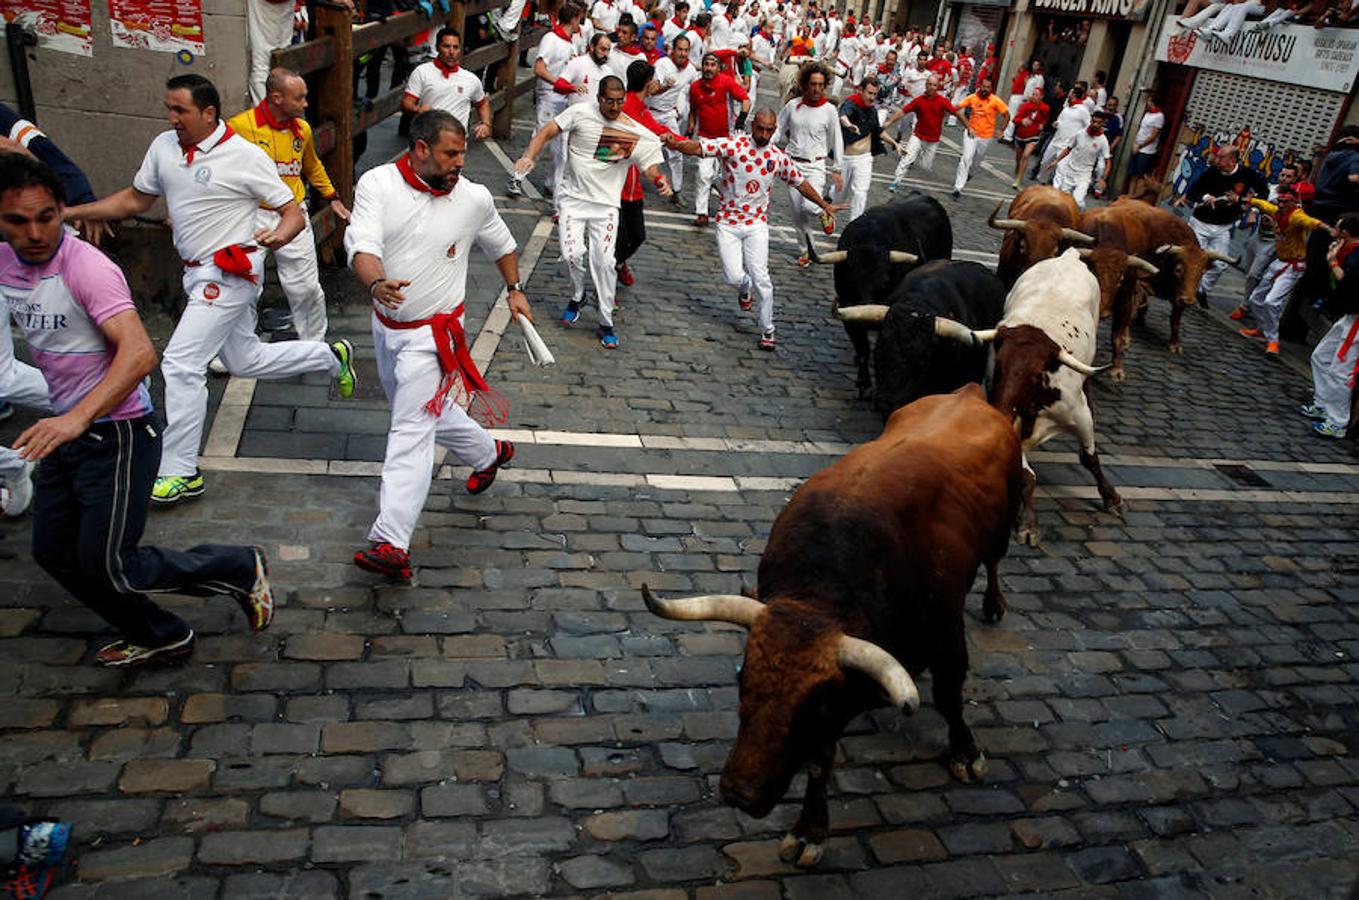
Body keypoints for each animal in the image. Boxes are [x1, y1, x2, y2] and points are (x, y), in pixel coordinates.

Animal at [641, 383, 1016, 870]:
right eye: (742, 680)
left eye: (813, 703)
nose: (740, 793)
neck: (824, 590)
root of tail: (968, 391)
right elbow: (820, 759)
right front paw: (809, 829)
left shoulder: (946, 636)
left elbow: (950, 698)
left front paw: (966, 752)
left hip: (1003, 530)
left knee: (994, 563)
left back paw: (994, 602)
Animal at [809, 195, 951, 396]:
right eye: (851, 283)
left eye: (884, 282)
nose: (866, 321)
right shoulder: (846, 309)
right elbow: (863, 349)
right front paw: (863, 383)